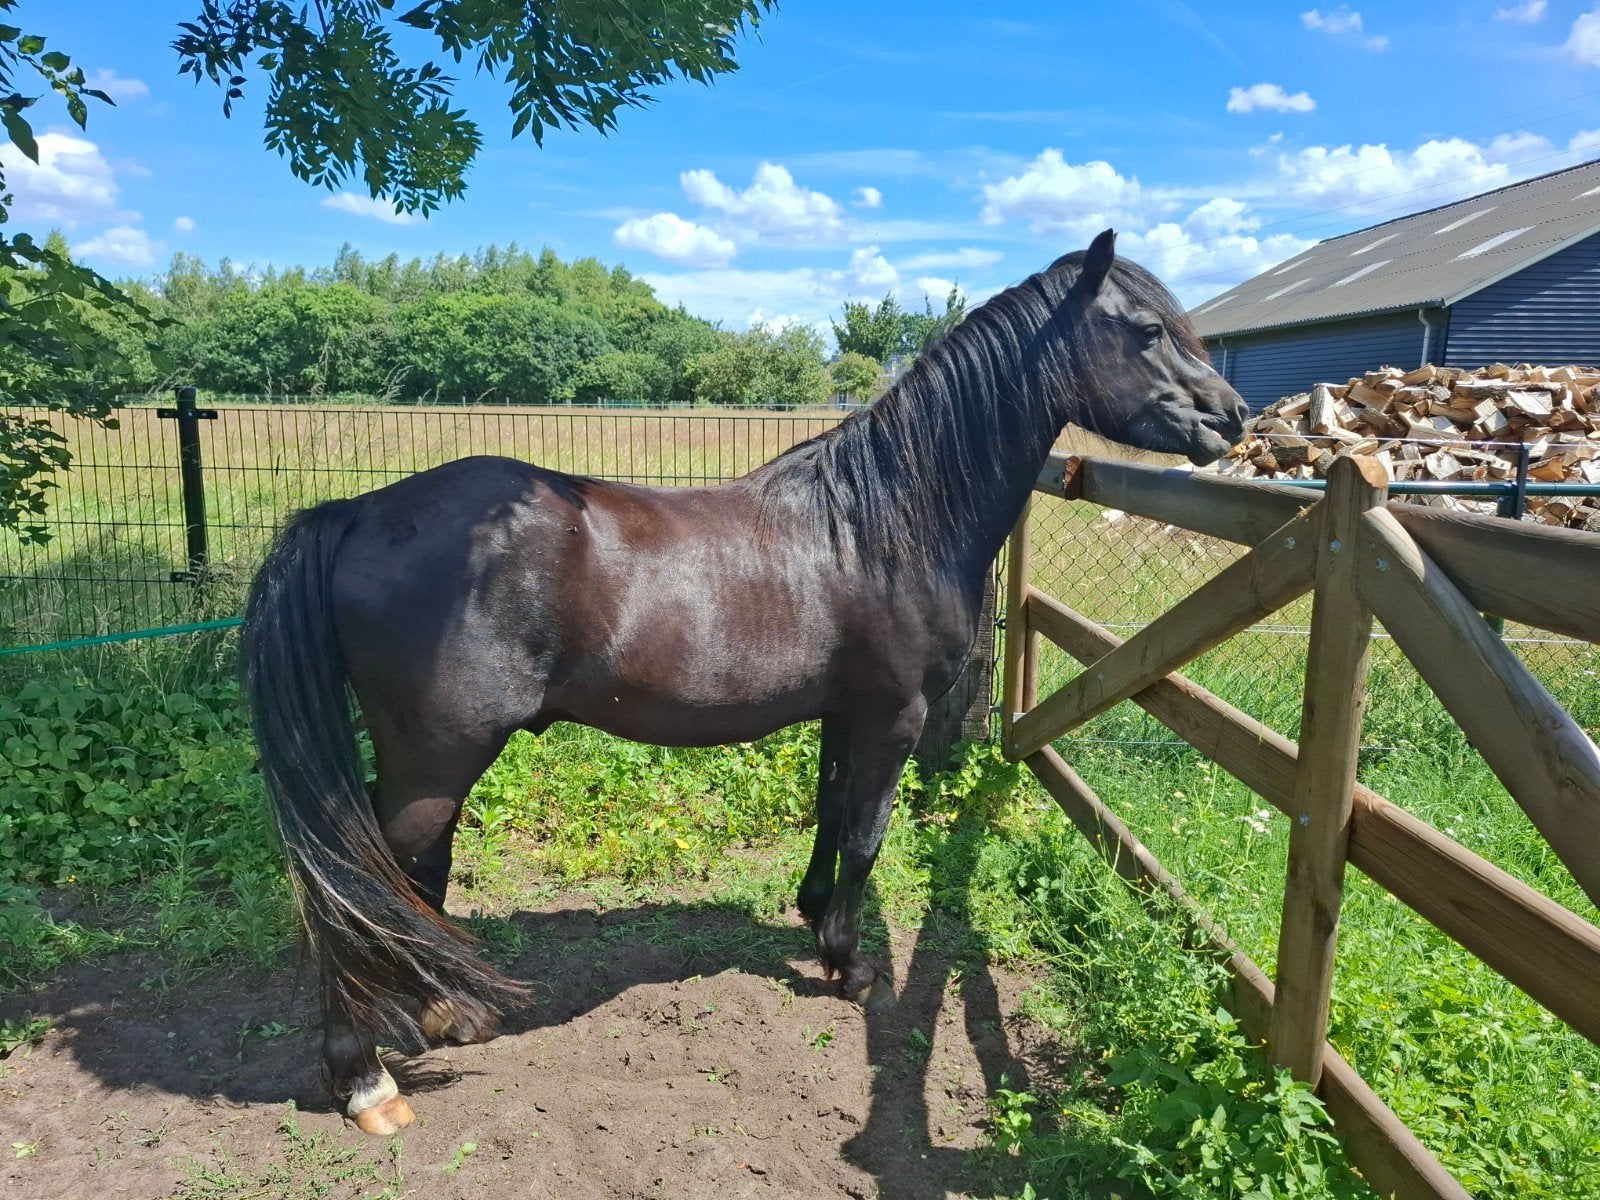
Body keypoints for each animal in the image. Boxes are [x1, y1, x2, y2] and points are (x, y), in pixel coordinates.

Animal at [241, 230, 1247, 1135]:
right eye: (1146, 330)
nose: (1232, 420)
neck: (884, 522)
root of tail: (357, 511)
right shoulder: (895, 716)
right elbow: (869, 836)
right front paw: (851, 964)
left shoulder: (846, 713)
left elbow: (832, 815)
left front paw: (814, 921)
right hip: (436, 758)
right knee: (355, 880)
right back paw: (366, 1080)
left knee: (404, 883)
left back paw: (446, 1015)